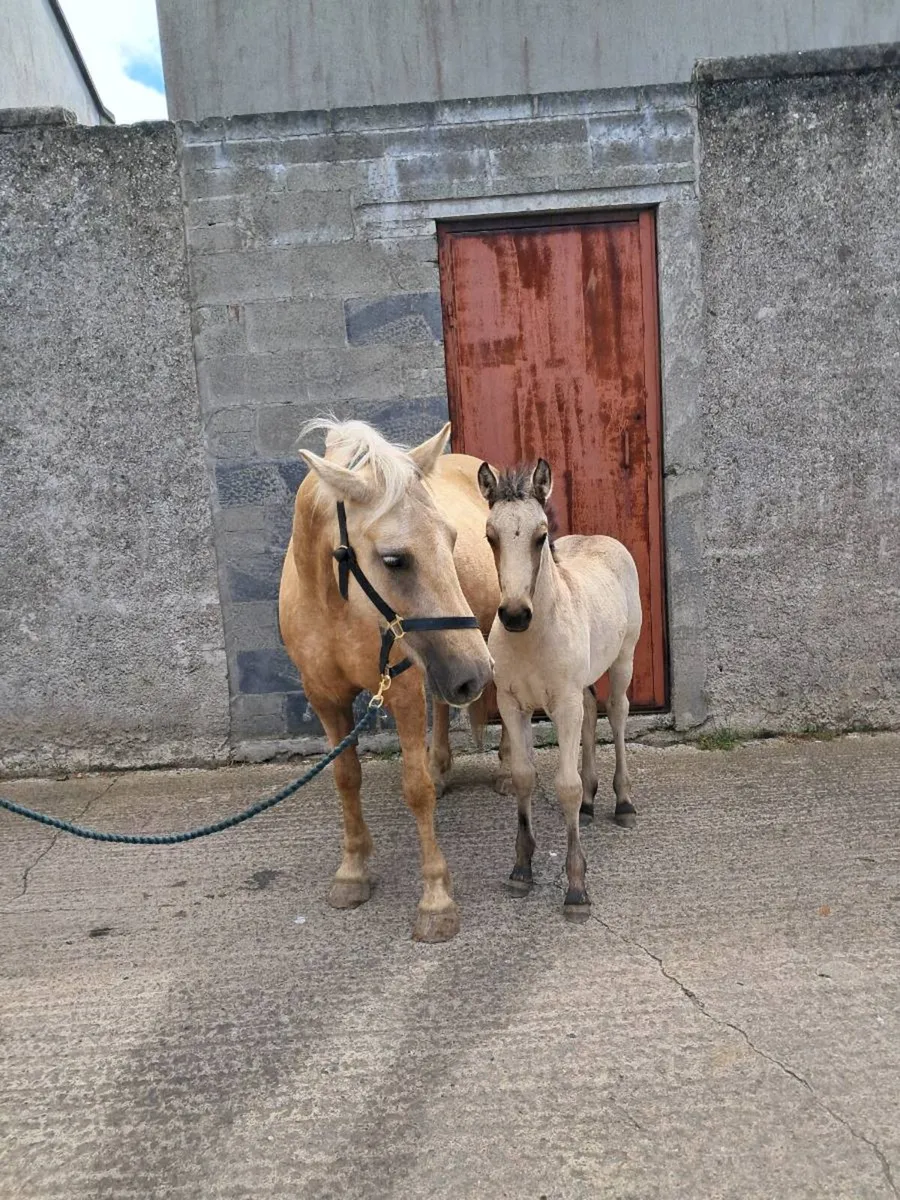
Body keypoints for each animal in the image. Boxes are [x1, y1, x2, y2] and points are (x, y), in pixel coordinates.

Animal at [279, 418, 499, 942]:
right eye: (395, 559)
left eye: (451, 539)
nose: (477, 673)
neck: (334, 609)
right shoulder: (326, 700)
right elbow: (345, 777)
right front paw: (352, 872)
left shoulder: (399, 692)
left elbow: (414, 789)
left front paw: (436, 901)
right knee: (442, 706)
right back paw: (443, 766)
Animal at [477, 458, 642, 920]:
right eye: (490, 536)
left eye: (540, 536)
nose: (515, 615)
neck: (532, 638)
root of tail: (601, 539)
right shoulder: (512, 705)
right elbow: (523, 777)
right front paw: (521, 869)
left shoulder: (563, 704)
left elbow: (565, 785)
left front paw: (576, 888)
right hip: (581, 685)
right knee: (591, 715)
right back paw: (588, 805)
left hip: (623, 659)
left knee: (616, 714)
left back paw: (623, 803)